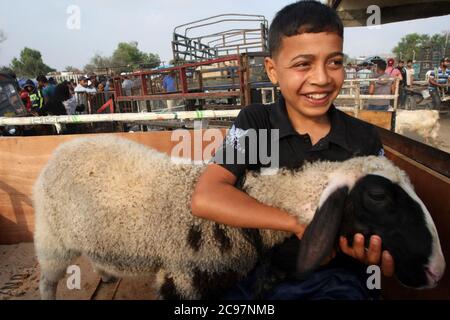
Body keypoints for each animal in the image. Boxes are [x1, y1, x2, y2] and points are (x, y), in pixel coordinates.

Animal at [33, 135, 444, 300]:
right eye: (378, 196)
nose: (437, 270)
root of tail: (63, 149)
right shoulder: (184, 279)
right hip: (51, 238)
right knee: (47, 281)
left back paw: (105, 273)